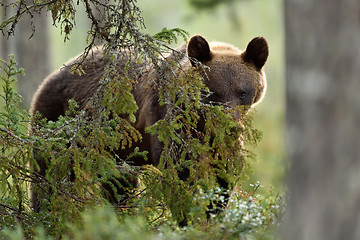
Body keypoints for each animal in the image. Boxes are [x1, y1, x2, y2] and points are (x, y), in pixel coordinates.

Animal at [29, 34, 268, 215]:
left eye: (242, 92)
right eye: (212, 92)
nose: (230, 125)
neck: (200, 124)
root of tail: (51, 76)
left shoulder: (220, 143)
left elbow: (226, 172)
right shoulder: (167, 121)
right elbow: (180, 172)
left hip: (116, 151)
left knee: (117, 185)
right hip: (57, 122)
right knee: (46, 175)